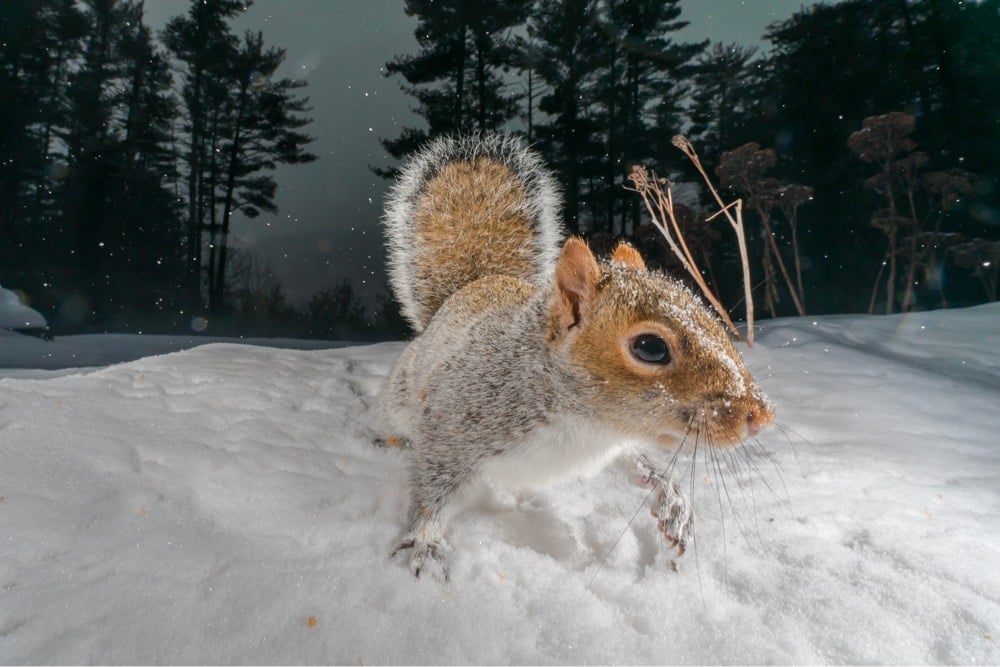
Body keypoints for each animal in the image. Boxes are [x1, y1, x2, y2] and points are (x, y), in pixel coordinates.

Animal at [380, 133, 774, 577]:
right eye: (650, 347)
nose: (761, 416)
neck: (587, 424)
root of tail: (474, 285)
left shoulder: (614, 443)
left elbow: (638, 462)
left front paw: (672, 499)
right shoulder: (452, 425)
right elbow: (432, 491)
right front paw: (424, 544)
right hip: (402, 398)